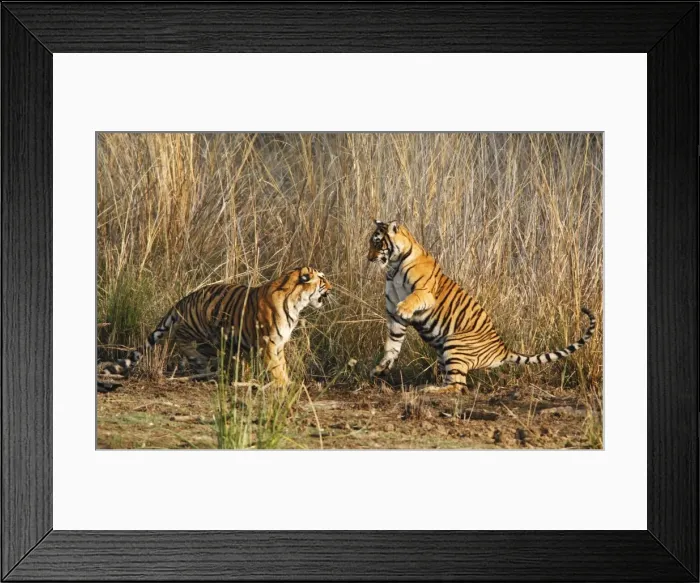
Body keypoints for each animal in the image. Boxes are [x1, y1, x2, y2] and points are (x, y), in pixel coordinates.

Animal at [100, 267, 332, 387]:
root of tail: (182, 300)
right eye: (322, 280)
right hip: (194, 327)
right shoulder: (268, 344)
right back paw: (201, 363)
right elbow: (277, 369)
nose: (331, 287)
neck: (298, 302)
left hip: (214, 339)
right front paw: (284, 386)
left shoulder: (279, 344)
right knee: (180, 340)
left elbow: (282, 365)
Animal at [367, 220, 596, 393]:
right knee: (453, 381)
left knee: (458, 387)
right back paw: (430, 386)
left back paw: (428, 389)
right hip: (444, 352)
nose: (369, 258)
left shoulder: (425, 292)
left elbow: (412, 299)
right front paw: (379, 370)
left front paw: (405, 308)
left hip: (455, 344)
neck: (394, 266)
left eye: (378, 243)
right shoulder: (394, 320)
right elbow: (392, 346)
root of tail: (502, 349)